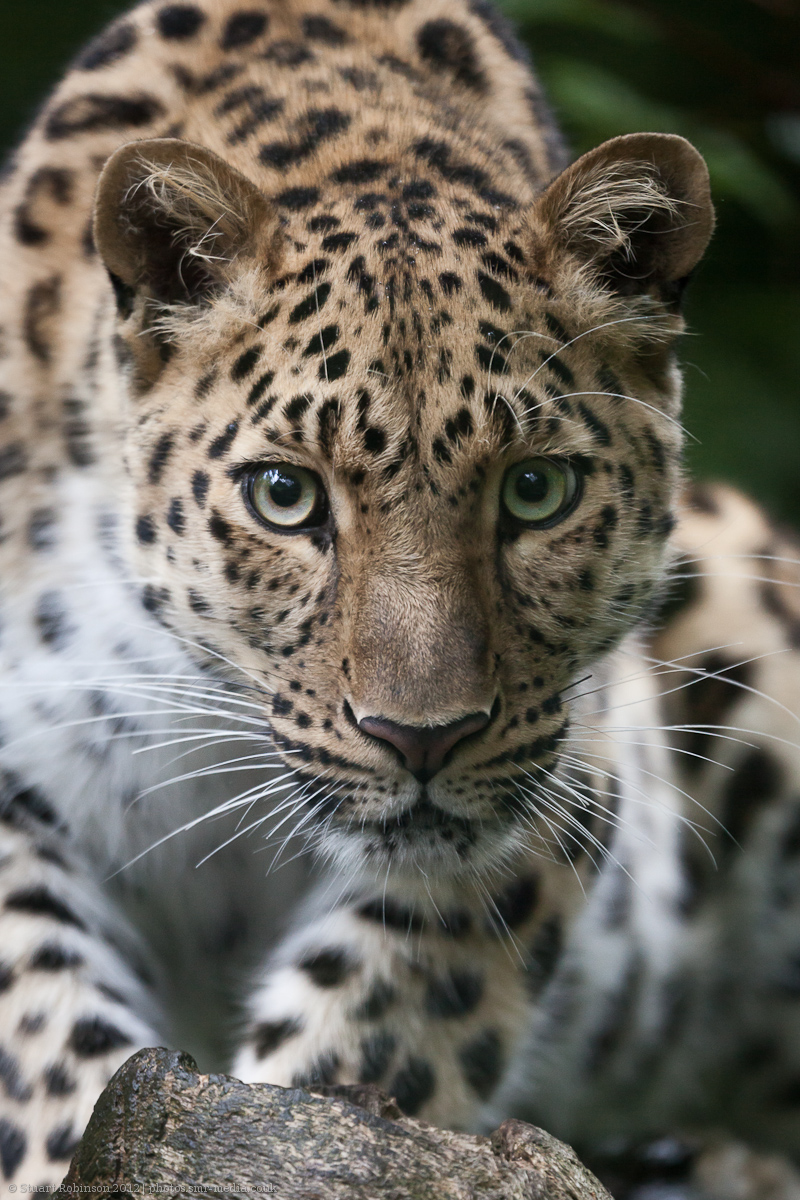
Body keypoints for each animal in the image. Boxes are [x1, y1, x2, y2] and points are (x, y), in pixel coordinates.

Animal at [0, 0, 799, 1192]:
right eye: (284, 495)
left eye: (535, 489)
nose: (421, 739)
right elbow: (40, 1026)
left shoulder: (564, 776)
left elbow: (377, 1036)